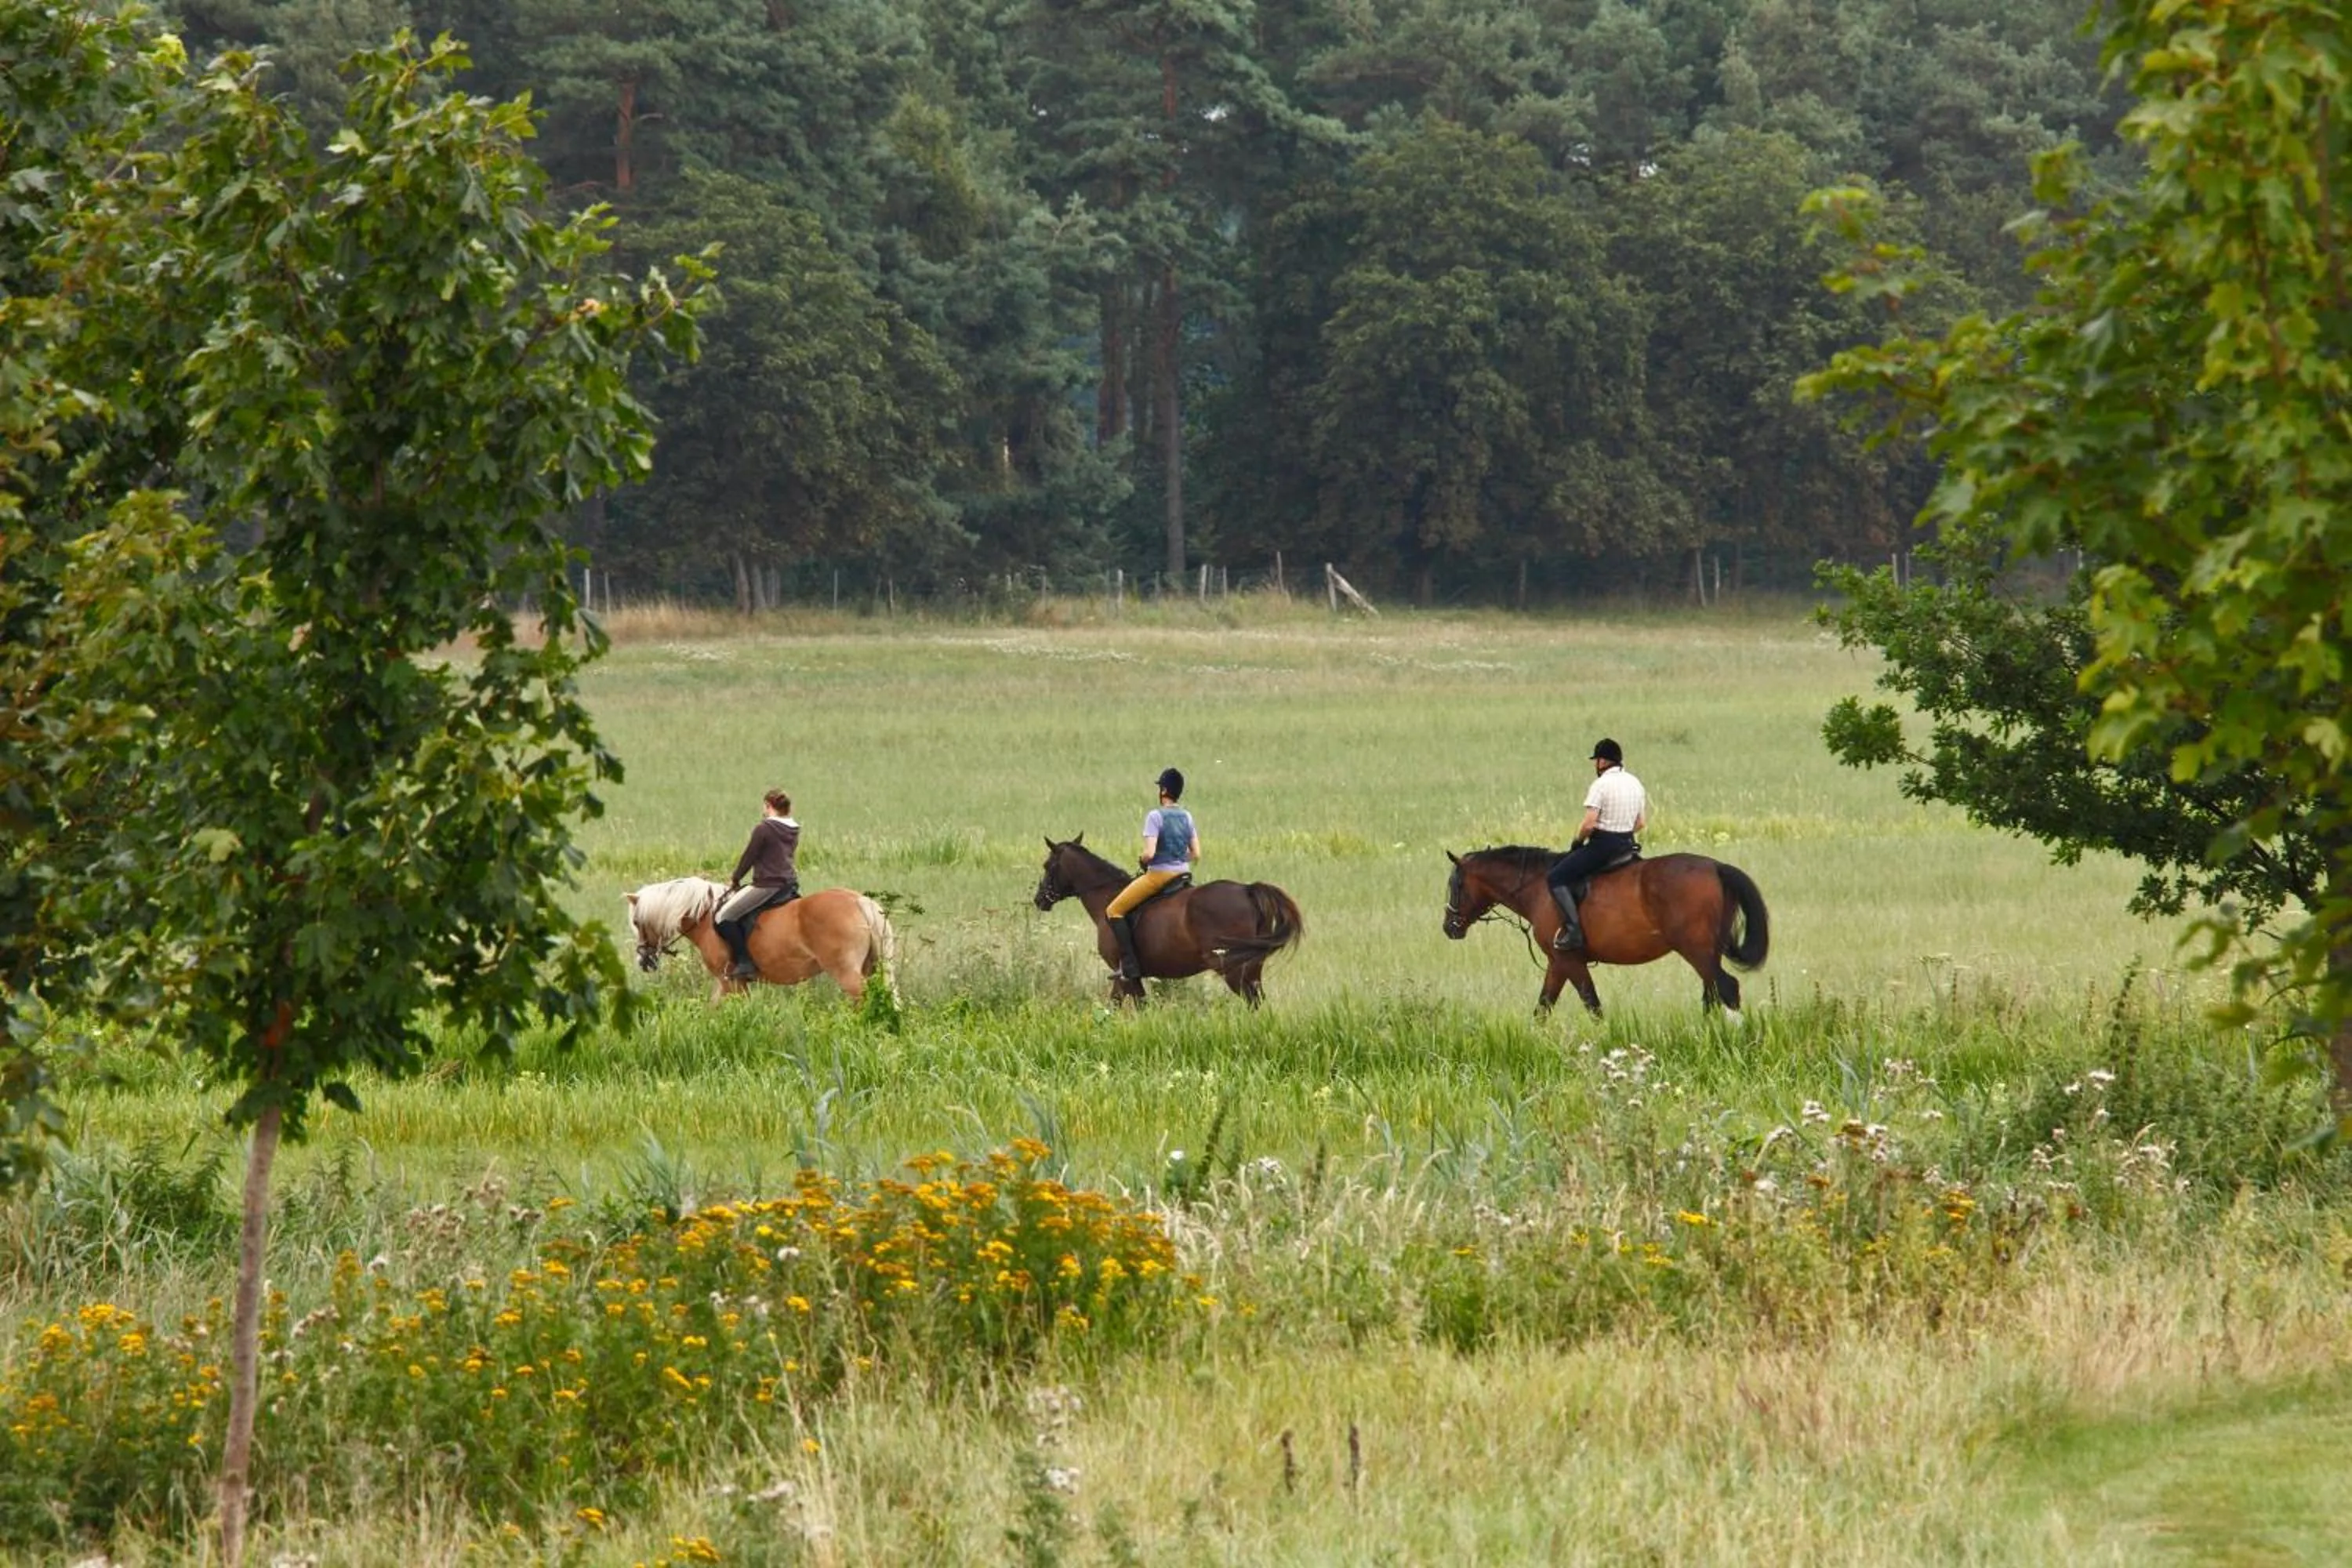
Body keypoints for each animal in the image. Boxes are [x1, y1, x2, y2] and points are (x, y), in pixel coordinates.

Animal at [625, 876, 898, 1004]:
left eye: (637, 922)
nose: (643, 960)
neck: (705, 917)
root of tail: (858, 901)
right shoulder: (728, 982)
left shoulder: (729, 981)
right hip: (869, 968)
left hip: (846, 972)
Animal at [1033, 835, 1304, 1005]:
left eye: (1047, 865)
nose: (1039, 900)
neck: (1106, 896)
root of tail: (1247, 889)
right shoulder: (1130, 978)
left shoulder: (1123, 975)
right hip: (1251, 968)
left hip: (1234, 970)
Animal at [1442, 846, 1769, 1019]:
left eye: (1456, 885)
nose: (1448, 927)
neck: (1538, 888)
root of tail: (1716, 866)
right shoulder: (1557, 963)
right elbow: (1543, 1007)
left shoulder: (1570, 960)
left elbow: (1592, 1004)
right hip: (1706, 952)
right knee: (1712, 991)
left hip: (1695, 949)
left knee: (1726, 987)